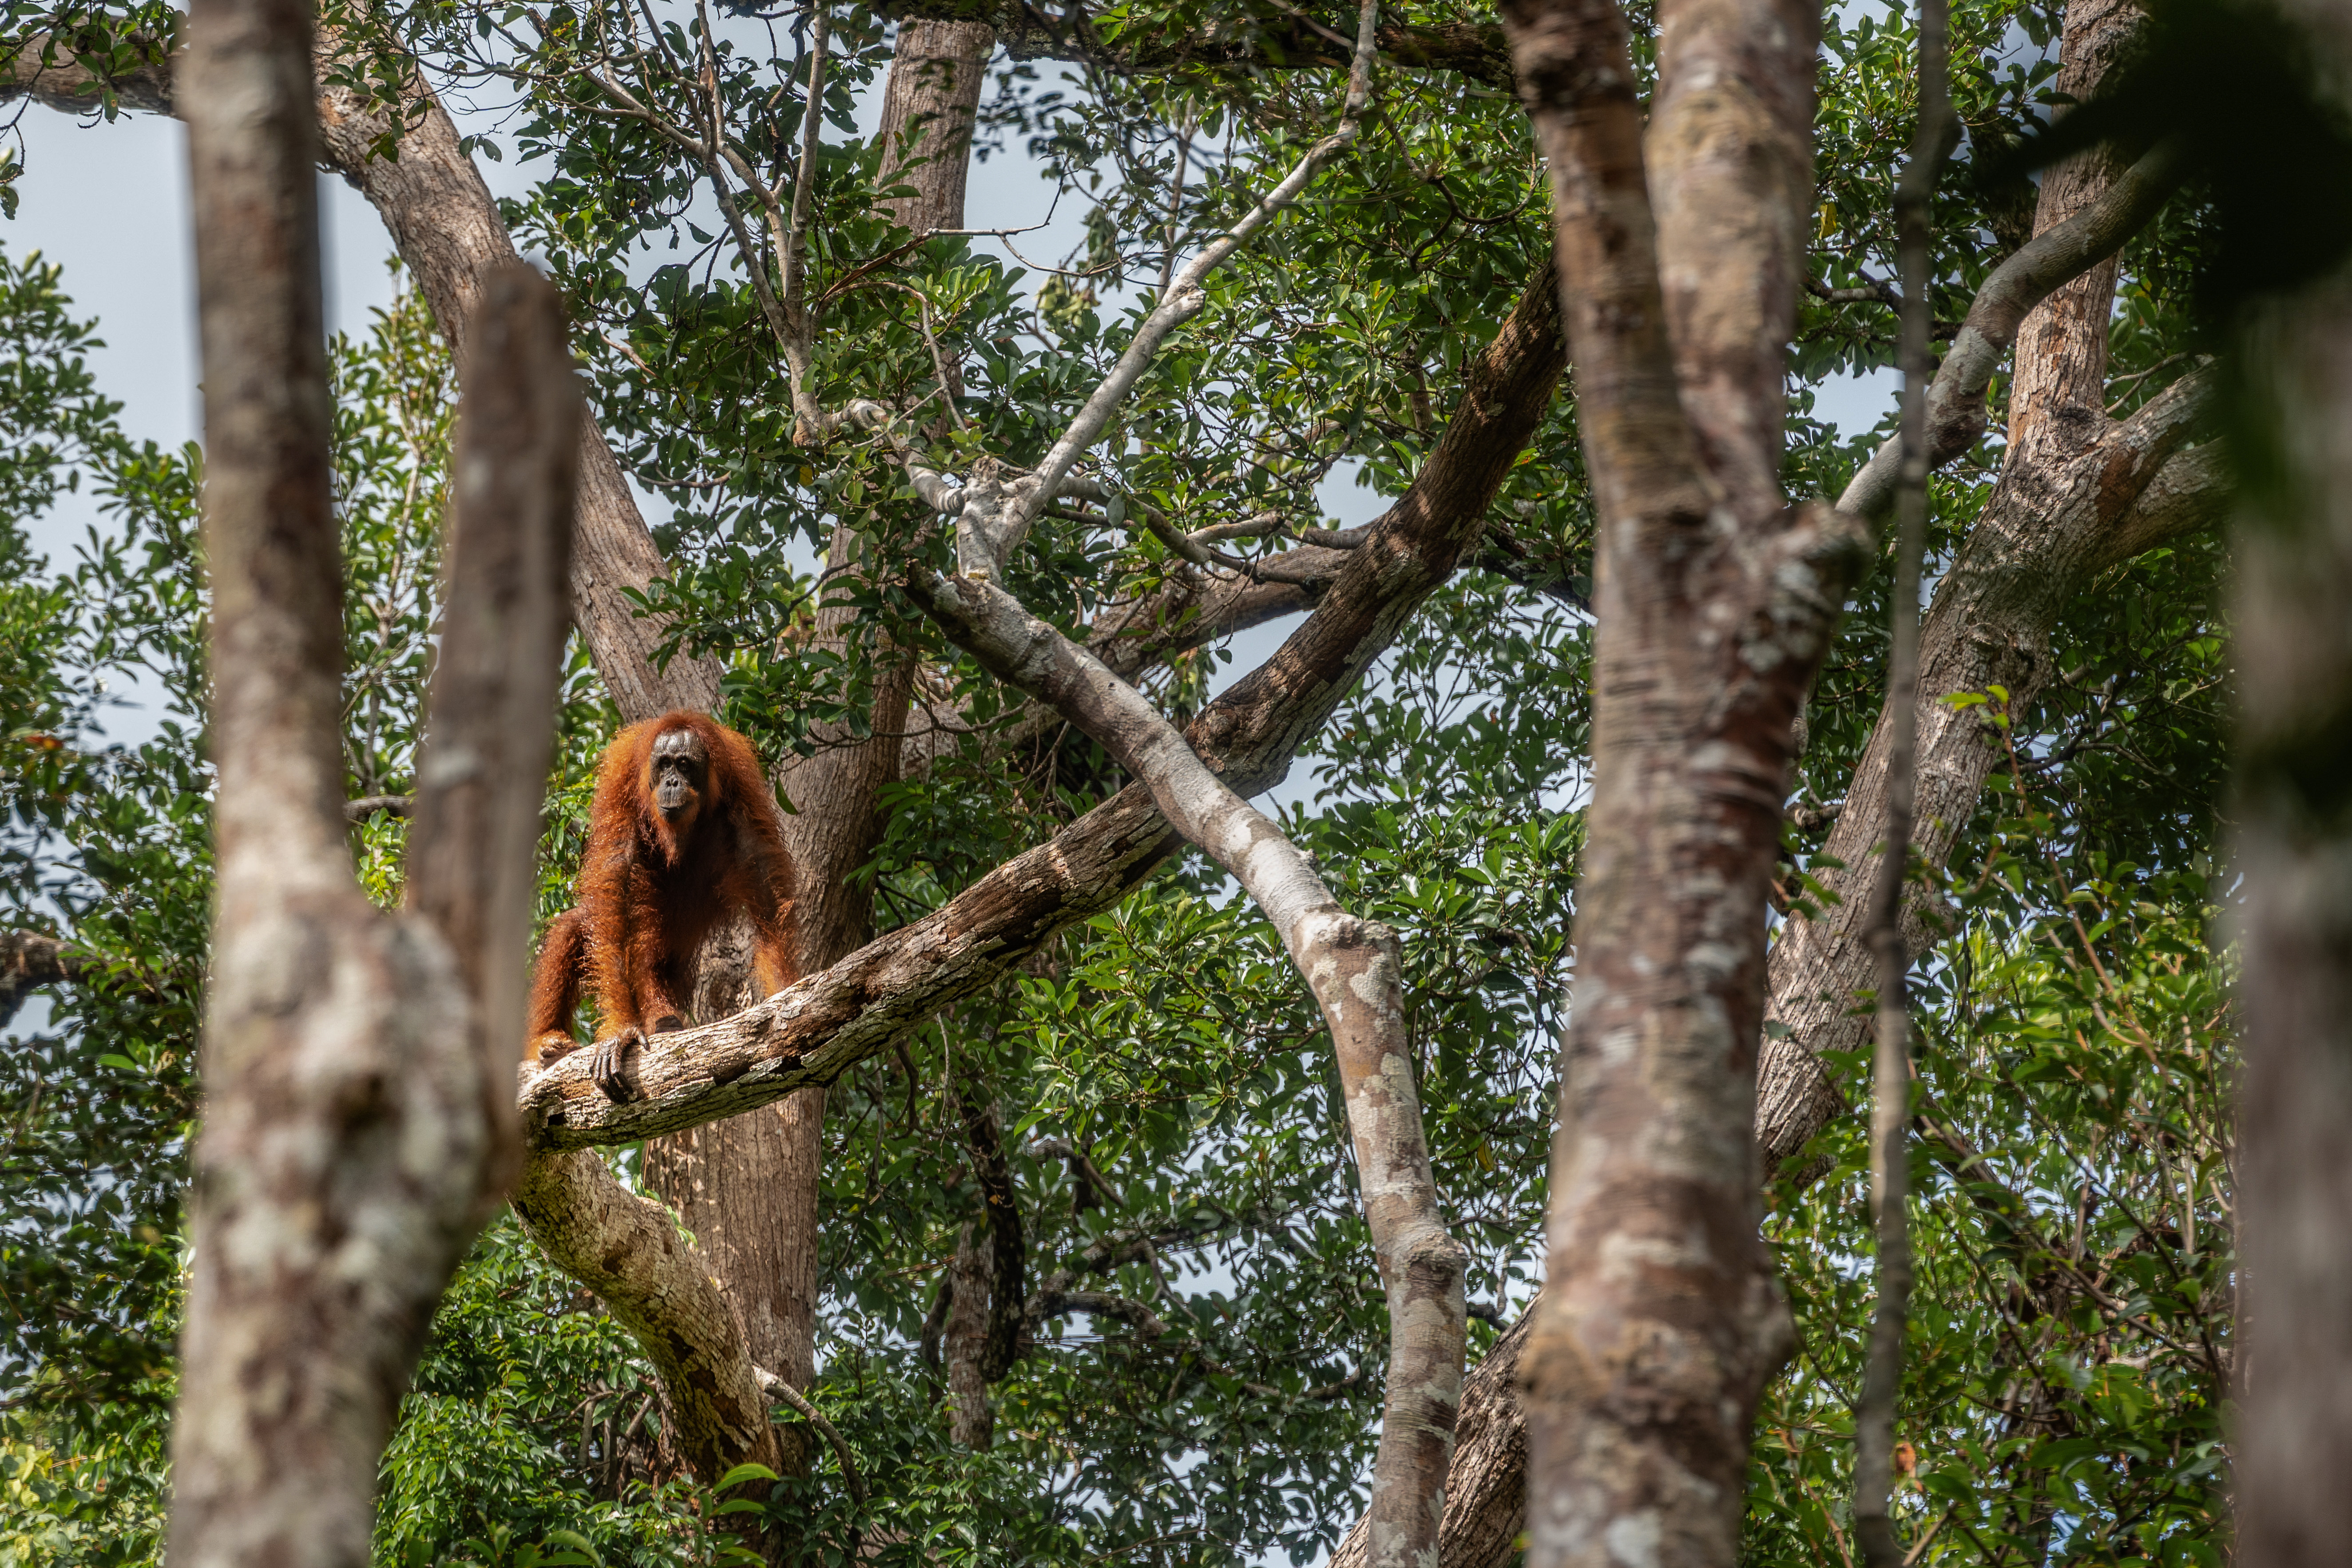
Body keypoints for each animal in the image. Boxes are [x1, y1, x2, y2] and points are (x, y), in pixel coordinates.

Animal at [526, 711, 799, 1102]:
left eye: (684, 765)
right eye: (665, 764)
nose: (672, 782)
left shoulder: (740, 780)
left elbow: (760, 873)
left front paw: (788, 993)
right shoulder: (621, 776)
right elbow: (615, 876)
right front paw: (620, 1031)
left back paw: (662, 1019)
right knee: (577, 927)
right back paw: (548, 1041)